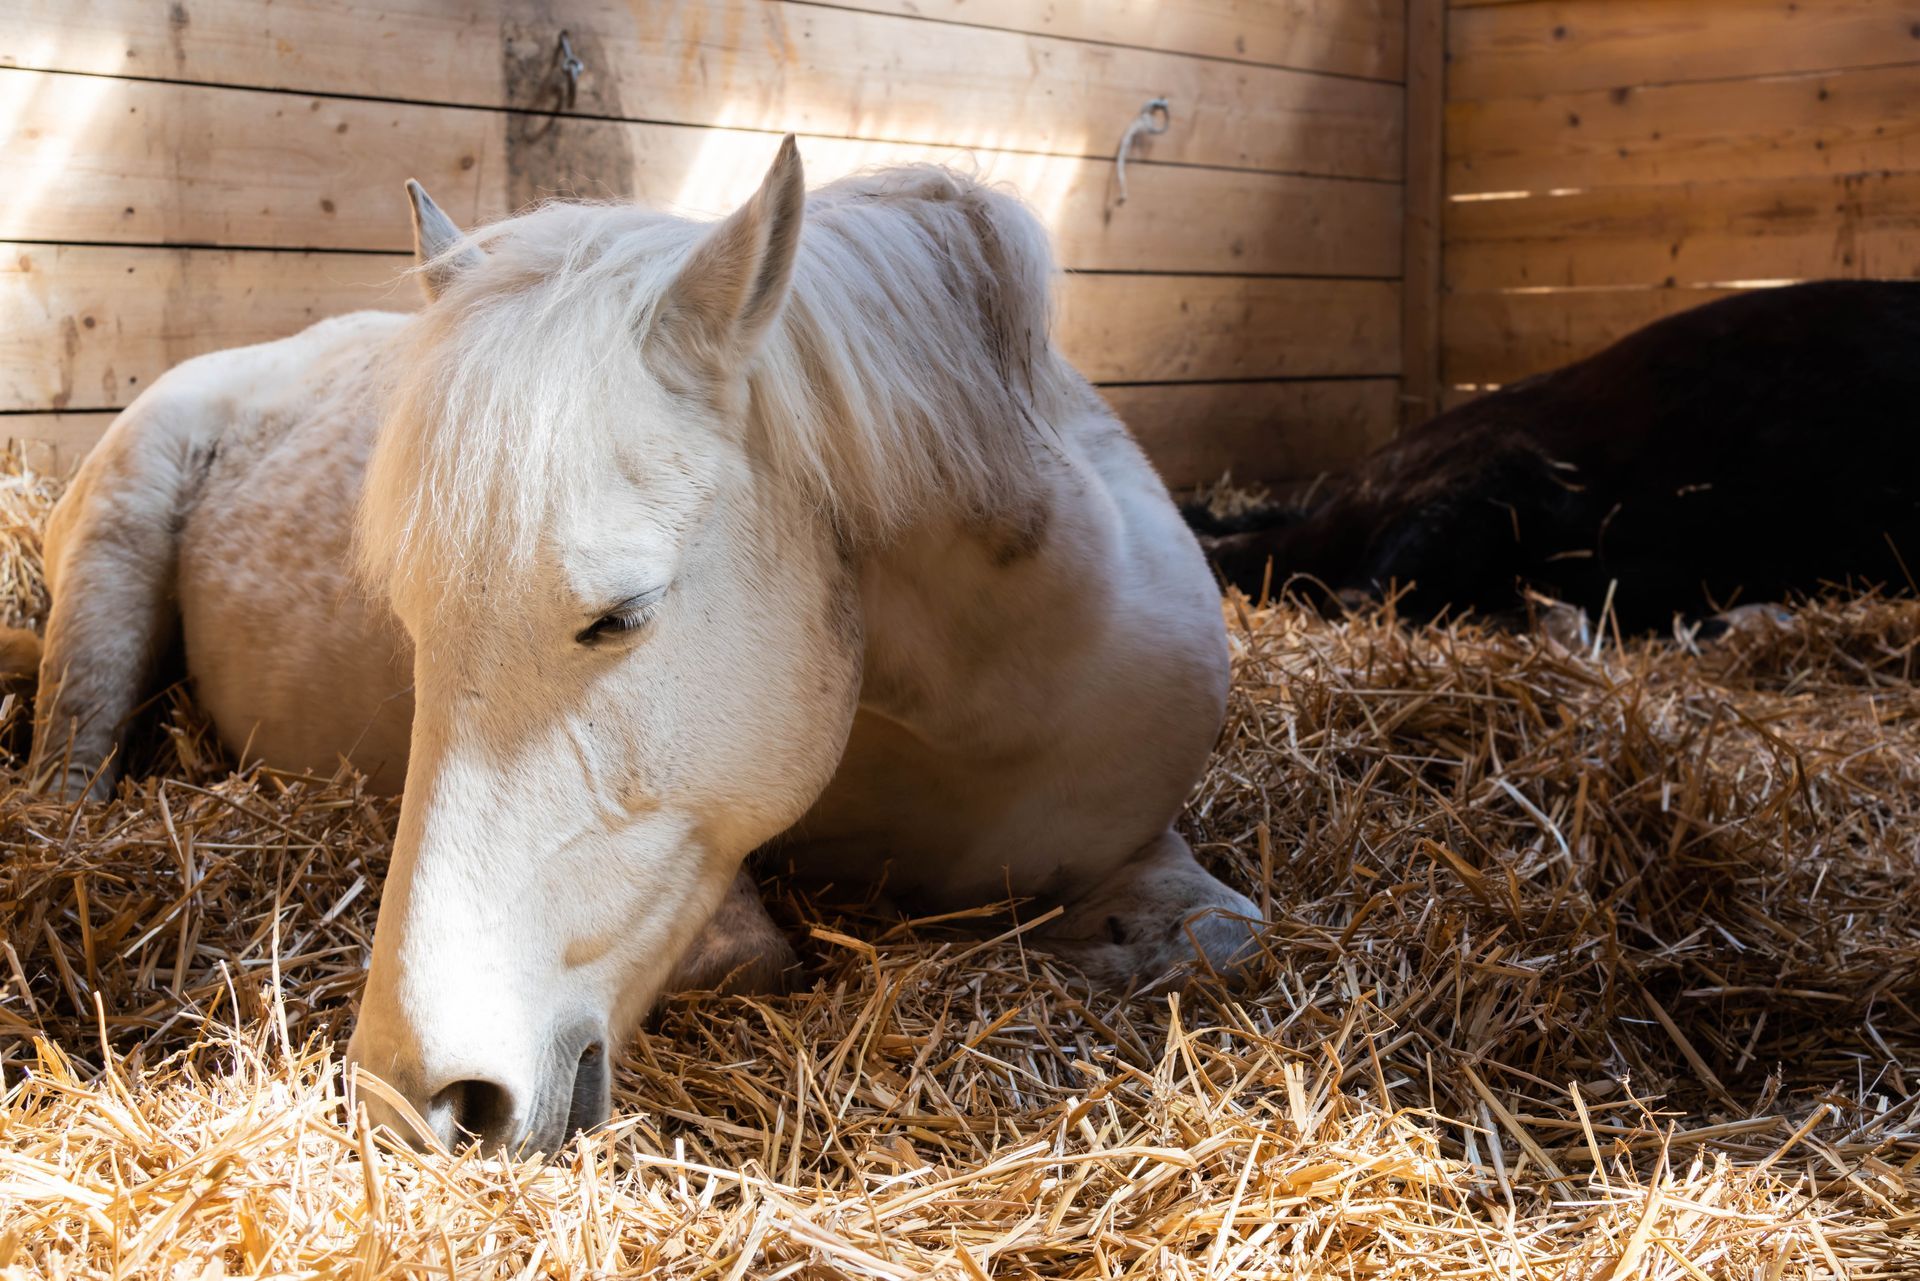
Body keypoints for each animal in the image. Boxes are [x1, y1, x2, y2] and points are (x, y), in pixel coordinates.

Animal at [21, 138, 1258, 1154]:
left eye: (619, 616)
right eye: (412, 629)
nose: (414, 1100)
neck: (978, 713)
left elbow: (1225, 935)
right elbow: (751, 942)